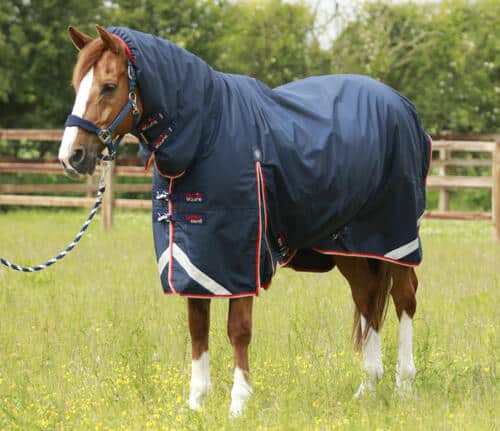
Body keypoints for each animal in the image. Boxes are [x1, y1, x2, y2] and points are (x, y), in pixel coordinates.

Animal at [58, 25, 430, 416]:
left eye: (109, 86)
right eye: (77, 85)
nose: (71, 156)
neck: (206, 136)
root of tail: (401, 105)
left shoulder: (241, 258)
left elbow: (238, 329)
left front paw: (238, 403)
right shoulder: (194, 260)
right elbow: (198, 327)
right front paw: (196, 403)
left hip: (396, 237)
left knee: (404, 298)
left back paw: (404, 385)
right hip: (350, 247)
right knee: (368, 298)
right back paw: (368, 385)